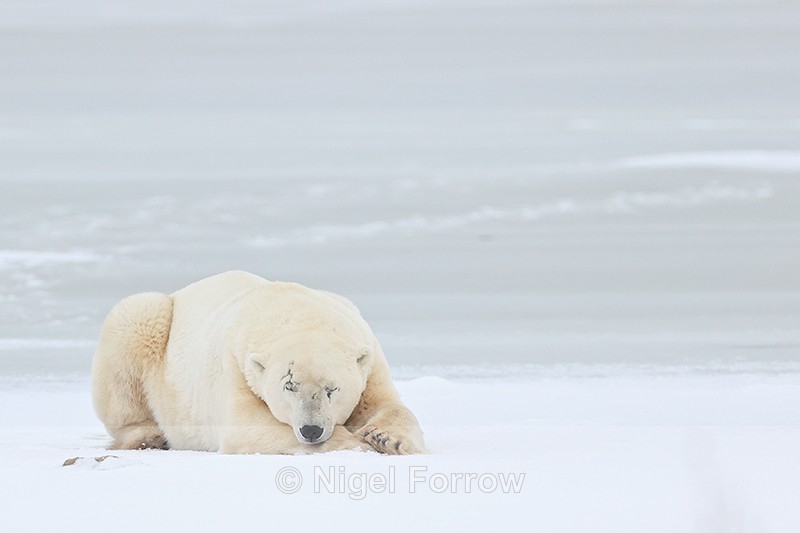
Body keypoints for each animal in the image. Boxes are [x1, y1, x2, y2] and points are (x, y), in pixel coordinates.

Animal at [91, 270, 425, 455]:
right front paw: (359, 442)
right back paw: (148, 436)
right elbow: (247, 426)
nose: (311, 430)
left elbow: (385, 403)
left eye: (332, 389)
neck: (291, 309)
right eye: (290, 385)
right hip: (150, 322)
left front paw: (387, 438)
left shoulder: (370, 355)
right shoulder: (236, 366)